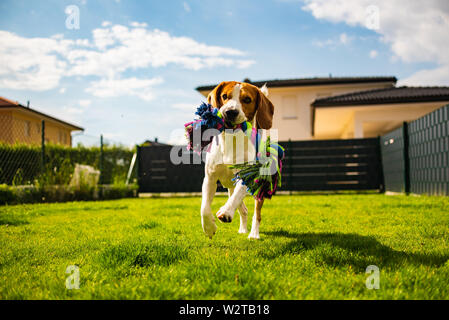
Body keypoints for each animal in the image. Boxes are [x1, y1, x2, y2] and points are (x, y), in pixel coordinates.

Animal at [201, 81, 274, 239]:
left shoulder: (247, 176)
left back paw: (253, 234)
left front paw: (225, 212)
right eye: (224, 96)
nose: (230, 112)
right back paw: (242, 229)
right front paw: (209, 228)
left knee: (256, 213)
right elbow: (204, 208)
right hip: (230, 187)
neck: (231, 141)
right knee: (243, 209)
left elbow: (236, 199)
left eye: (247, 99)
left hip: (258, 189)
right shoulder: (210, 178)